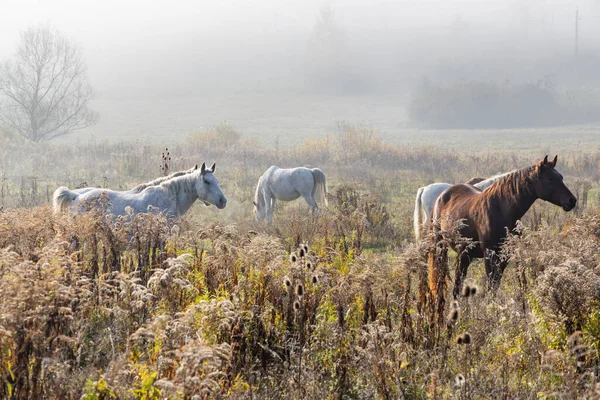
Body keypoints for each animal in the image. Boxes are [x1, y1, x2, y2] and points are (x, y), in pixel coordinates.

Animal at [432, 155, 576, 298]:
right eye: (550, 179)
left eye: (561, 177)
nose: (572, 200)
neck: (500, 210)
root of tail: (443, 195)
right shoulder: (489, 254)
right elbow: (491, 283)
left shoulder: (505, 255)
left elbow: (496, 283)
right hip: (442, 247)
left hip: (464, 254)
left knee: (459, 279)